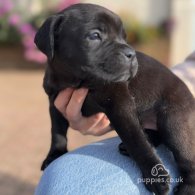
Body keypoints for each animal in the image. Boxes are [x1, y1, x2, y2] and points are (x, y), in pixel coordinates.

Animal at [35, 3, 195, 195]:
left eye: (124, 37)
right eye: (95, 35)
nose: (131, 54)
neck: (77, 81)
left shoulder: (120, 104)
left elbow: (136, 140)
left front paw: (155, 175)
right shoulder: (55, 103)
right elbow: (57, 132)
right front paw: (55, 154)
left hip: (174, 121)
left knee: (187, 159)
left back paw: (186, 188)